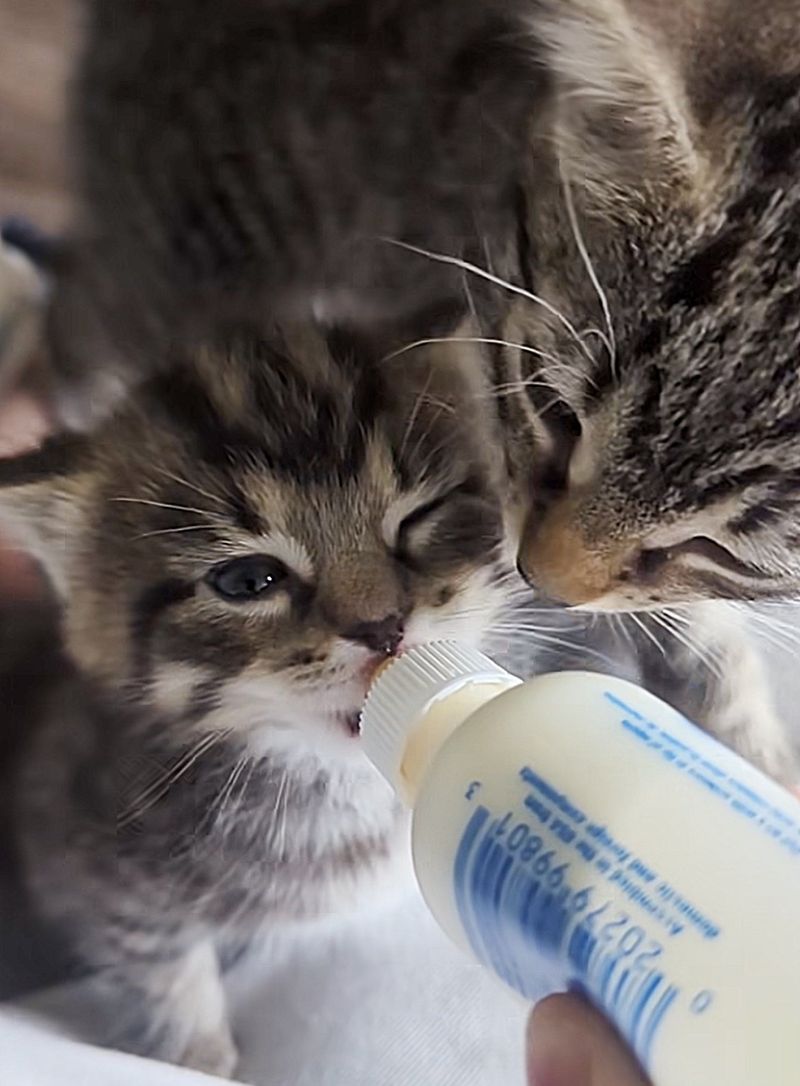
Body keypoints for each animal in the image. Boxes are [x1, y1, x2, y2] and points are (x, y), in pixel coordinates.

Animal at [0, 317, 525, 1072]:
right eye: (247, 581)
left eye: (420, 518)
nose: (382, 627)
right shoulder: (66, 831)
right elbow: (153, 957)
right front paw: (196, 1055)